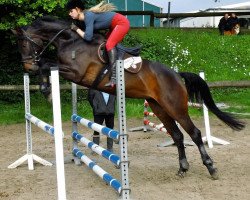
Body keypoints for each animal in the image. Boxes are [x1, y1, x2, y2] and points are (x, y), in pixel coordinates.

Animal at [12, 16, 245, 180]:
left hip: (175, 107)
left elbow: (46, 64)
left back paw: (211, 167)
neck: (70, 40)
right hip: (159, 107)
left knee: (194, 134)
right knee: (178, 136)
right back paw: (183, 168)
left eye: (23, 44)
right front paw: (45, 87)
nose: (27, 67)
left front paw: (46, 89)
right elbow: (46, 64)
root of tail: (176, 75)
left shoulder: (76, 73)